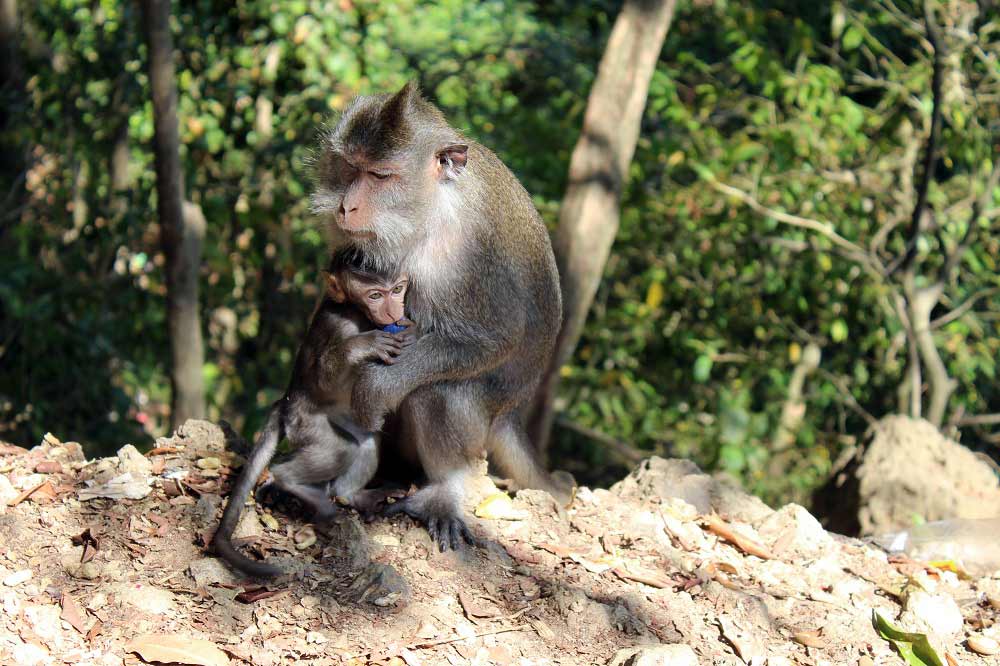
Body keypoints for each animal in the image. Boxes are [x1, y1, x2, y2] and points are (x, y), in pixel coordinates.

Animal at [211, 249, 414, 576]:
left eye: (397, 289)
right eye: (375, 295)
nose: (394, 310)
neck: (357, 313)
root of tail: (285, 401)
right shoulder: (340, 325)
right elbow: (324, 375)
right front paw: (363, 345)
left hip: (338, 417)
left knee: (365, 441)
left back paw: (352, 495)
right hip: (305, 423)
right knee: (339, 449)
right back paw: (295, 484)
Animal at [316, 81, 576, 548]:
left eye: (380, 176)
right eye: (348, 168)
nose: (346, 208)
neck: (431, 211)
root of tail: (512, 410)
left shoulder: (470, 254)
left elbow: (495, 337)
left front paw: (377, 387)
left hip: (483, 412)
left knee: (439, 390)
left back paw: (444, 491)